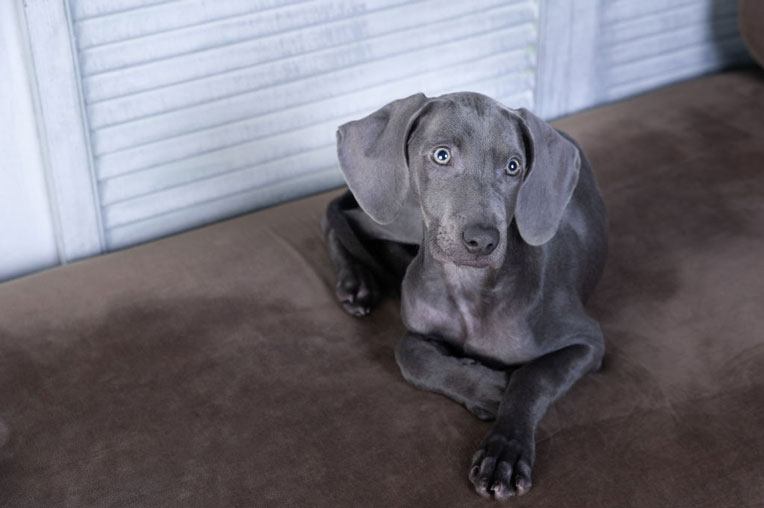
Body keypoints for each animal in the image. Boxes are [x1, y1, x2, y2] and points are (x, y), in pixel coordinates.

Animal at [322, 91, 608, 500]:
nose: (482, 240)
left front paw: (505, 451)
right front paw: (487, 388)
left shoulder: (587, 342)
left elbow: (532, 377)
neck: (467, 289)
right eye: (442, 155)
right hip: (400, 211)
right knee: (339, 215)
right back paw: (355, 281)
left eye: (513, 166)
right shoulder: (418, 325)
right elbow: (408, 353)